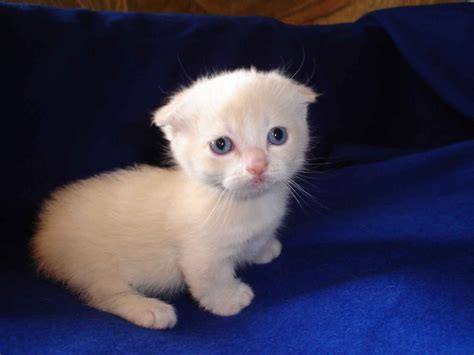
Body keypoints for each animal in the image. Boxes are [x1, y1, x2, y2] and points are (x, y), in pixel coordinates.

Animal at [31, 68, 316, 330]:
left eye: (277, 135)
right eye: (221, 145)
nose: (258, 166)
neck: (246, 203)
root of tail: (44, 231)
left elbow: (256, 242)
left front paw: (264, 249)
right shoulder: (200, 252)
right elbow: (209, 279)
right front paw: (228, 300)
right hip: (92, 264)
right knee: (105, 295)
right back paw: (150, 310)